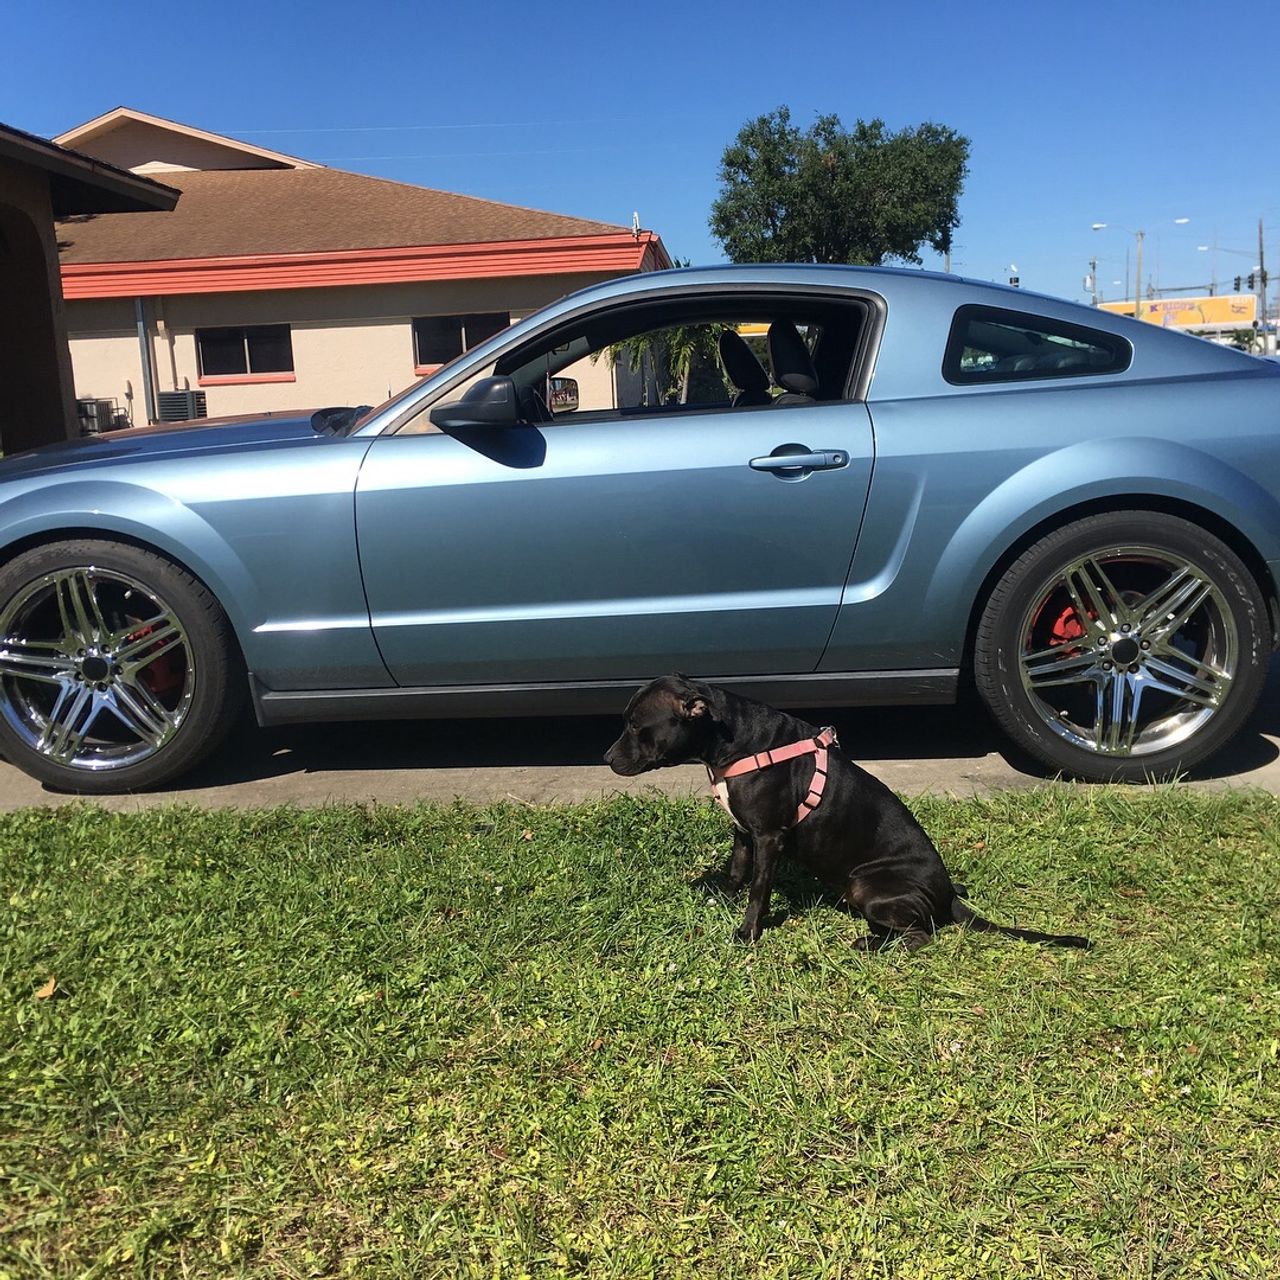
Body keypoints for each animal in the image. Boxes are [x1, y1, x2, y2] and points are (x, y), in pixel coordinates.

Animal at [604, 675, 1085, 947]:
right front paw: (722, 896)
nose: (607, 758)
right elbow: (737, 870)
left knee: (921, 936)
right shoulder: (743, 831)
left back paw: (869, 944)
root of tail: (948, 896)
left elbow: (758, 889)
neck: (731, 740)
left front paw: (748, 932)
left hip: (867, 887)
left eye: (635, 726)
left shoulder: (769, 837)